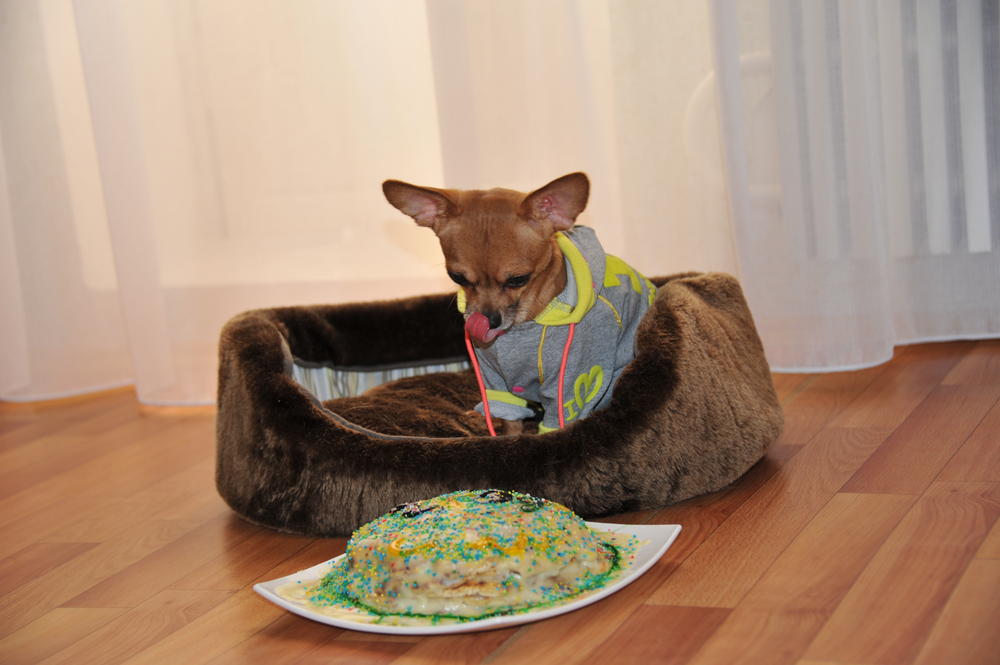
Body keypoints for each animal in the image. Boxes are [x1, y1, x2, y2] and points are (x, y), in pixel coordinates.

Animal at [383, 172, 656, 435]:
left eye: (518, 279)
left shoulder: (571, 383)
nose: (489, 320)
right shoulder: (496, 381)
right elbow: (510, 421)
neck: (523, 325)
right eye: (457, 277)